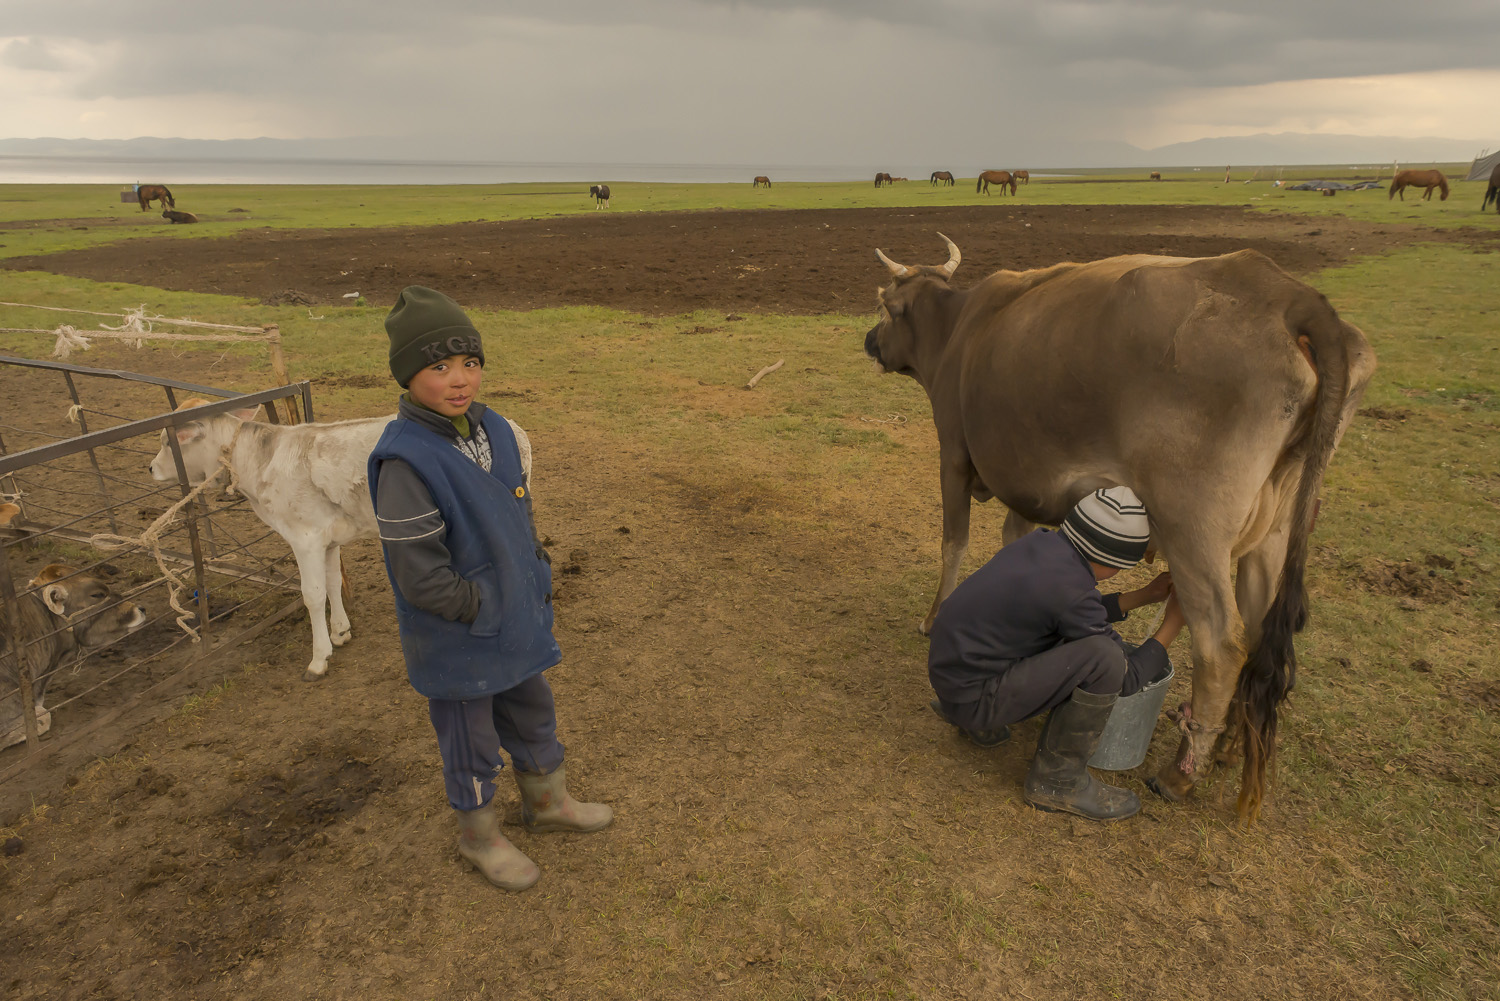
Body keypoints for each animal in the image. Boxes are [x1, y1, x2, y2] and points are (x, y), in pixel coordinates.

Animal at [150, 399, 534, 681]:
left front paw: (319, 658)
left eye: (171, 440)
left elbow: (312, 594)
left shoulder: (303, 536)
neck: (257, 464)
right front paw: (340, 631)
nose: (151, 468)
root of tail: (513, 426)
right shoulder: (327, 538)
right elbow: (333, 582)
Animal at [864, 235, 1374, 822]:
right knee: (1260, 634)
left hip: (1193, 527)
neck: (961, 328)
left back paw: (1181, 774)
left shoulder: (952, 453)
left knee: (1222, 642)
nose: (869, 340)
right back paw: (1227, 749)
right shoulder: (1025, 482)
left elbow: (954, 542)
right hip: (1273, 533)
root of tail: (1289, 295)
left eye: (885, 305)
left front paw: (934, 618)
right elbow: (1012, 542)